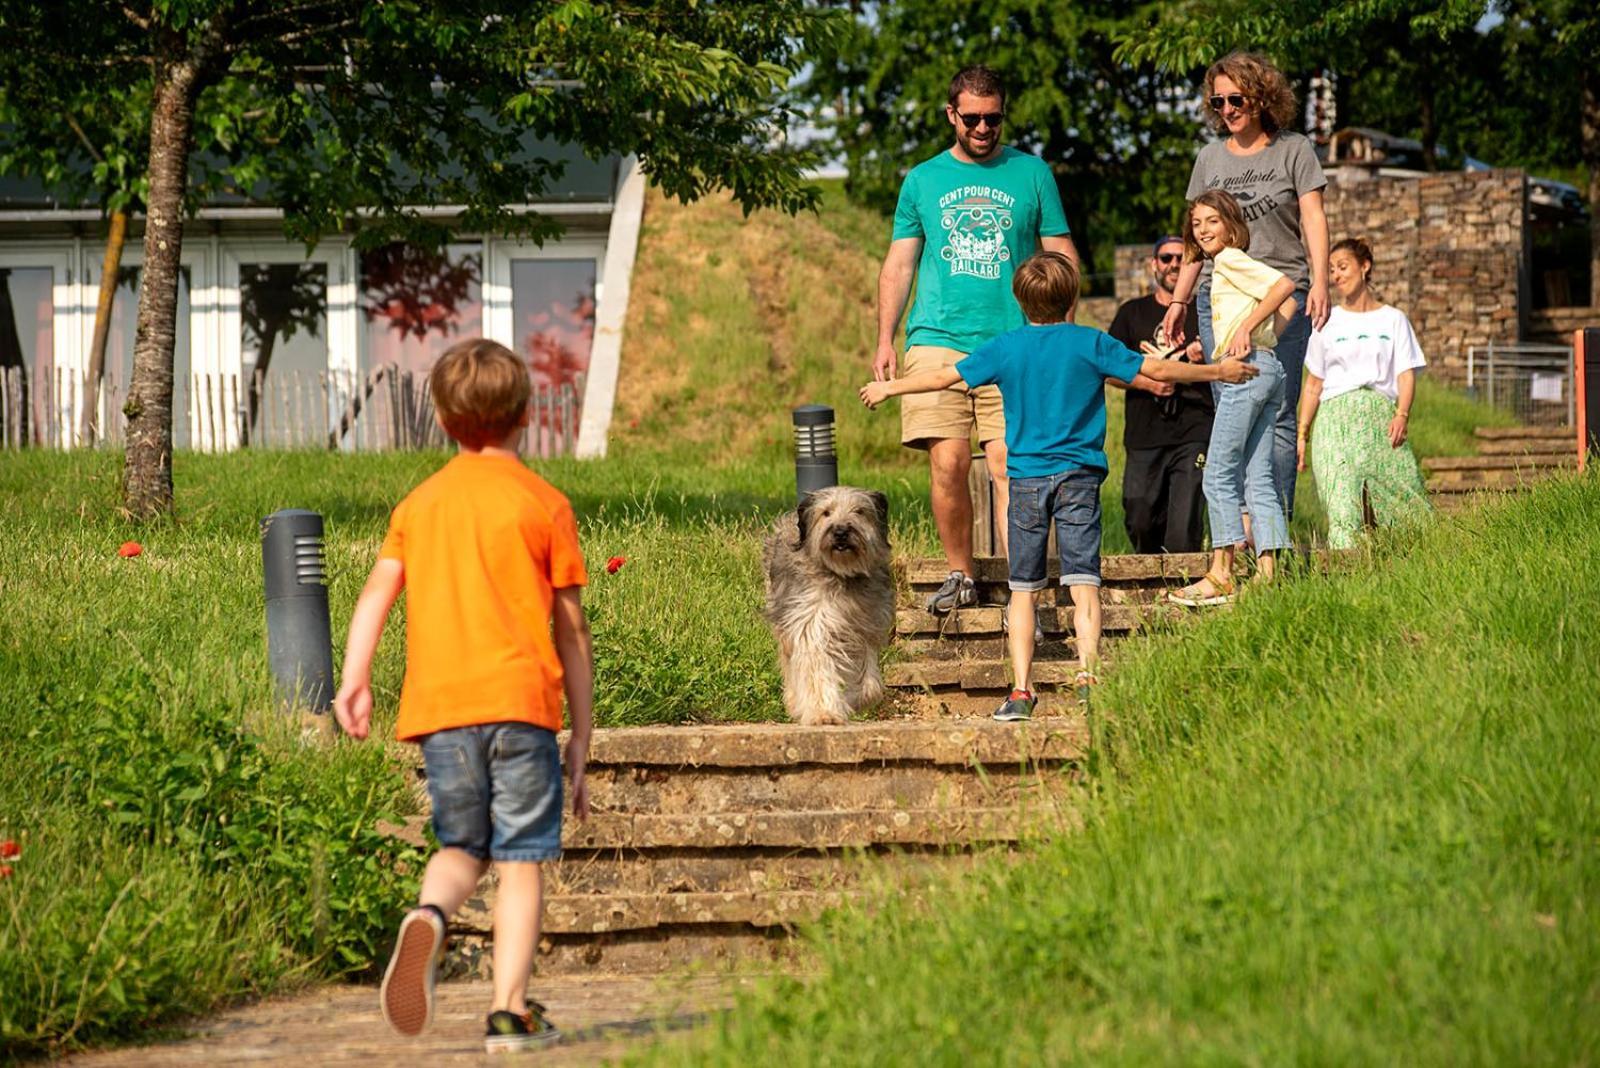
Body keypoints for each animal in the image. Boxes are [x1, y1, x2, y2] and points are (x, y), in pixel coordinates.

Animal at [758, 486, 896, 725]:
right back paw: (794, 701)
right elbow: (816, 669)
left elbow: (871, 685)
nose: (840, 532)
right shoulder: (811, 624)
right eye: (826, 513)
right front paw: (824, 713)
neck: (843, 575)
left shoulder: (866, 629)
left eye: (859, 511)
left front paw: (851, 699)